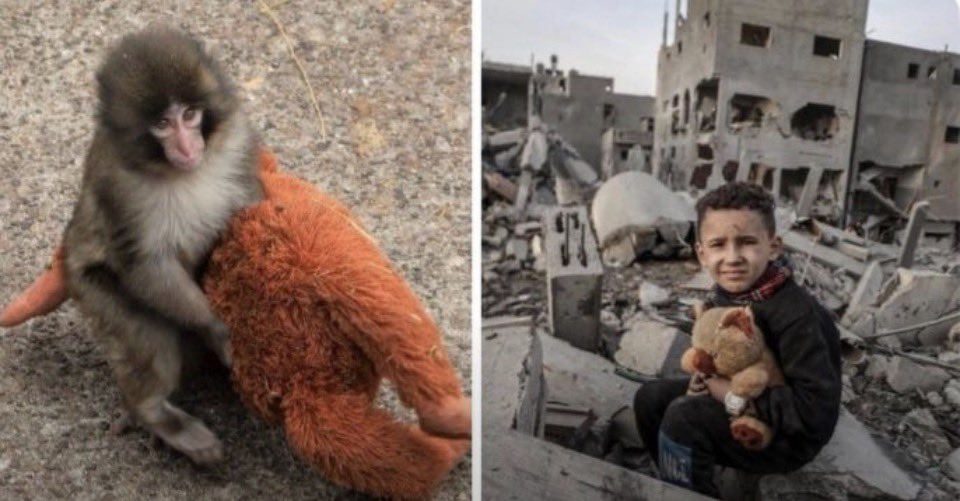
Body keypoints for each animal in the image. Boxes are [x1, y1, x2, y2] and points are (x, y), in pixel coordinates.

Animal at [62, 27, 262, 464]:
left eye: (189, 115)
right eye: (162, 124)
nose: (188, 147)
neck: (181, 173)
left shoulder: (238, 140)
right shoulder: (118, 185)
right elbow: (145, 265)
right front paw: (217, 329)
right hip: (90, 289)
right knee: (147, 338)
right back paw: (154, 414)